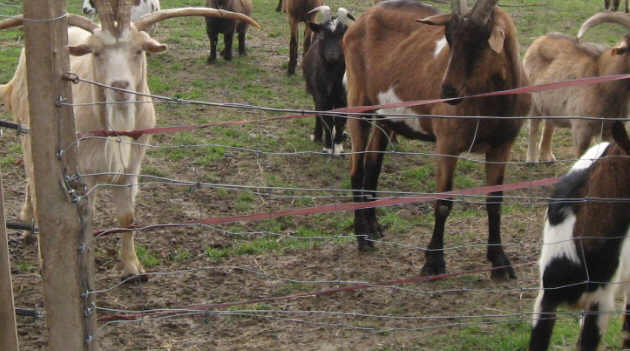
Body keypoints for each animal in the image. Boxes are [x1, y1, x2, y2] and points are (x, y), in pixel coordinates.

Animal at [0, 0, 260, 284]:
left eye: (138, 50)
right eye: (96, 53)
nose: (120, 86)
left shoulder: (132, 167)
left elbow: (127, 216)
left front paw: (132, 268)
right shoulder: (84, 172)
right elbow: (85, 217)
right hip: (29, 132)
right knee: (32, 178)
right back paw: (29, 229)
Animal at [302, 6, 354, 155]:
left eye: (342, 36)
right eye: (323, 35)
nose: (332, 56)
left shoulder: (344, 99)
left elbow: (341, 121)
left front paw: (338, 147)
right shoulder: (321, 96)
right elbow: (326, 120)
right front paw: (327, 146)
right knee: (318, 113)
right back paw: (317, 135)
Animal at [344, 0, 532, 280]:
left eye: (481, 42)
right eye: (449, 38)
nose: (448, 92)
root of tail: (362, 19)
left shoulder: (502, 145)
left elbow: (494, 202)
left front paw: (500, 262)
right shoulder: (448, 144)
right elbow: (443, 202)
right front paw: (433, 262)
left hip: (384, 116)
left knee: (372, 165)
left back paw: (373, 226)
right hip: (359, 102)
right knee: (356, 168)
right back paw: (363, 238)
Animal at [524, 12, 630, 164]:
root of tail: (540, 39)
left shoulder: (611, 128)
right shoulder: (581, 128)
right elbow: (581, 154)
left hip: (551, 103)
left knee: (549, 123)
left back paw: (547, 156)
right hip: (533, 99)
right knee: (533, 125)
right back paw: (531, 160)